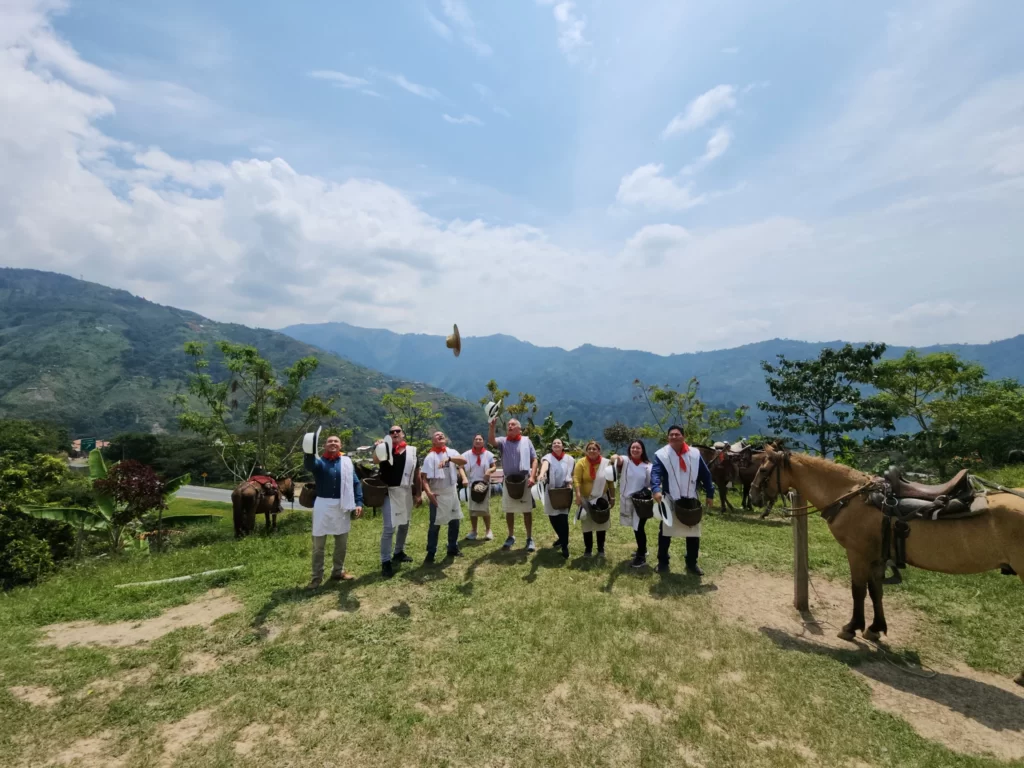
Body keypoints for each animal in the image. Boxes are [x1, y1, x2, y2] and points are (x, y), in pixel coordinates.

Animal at [745, 448, 1024, 688]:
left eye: (763, 470)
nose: (753, 497)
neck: (850, 496)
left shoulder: (857, 554)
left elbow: (858, 590)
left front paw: (852, 627)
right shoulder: (877, 558)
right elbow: (875, 591)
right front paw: (875, 628)